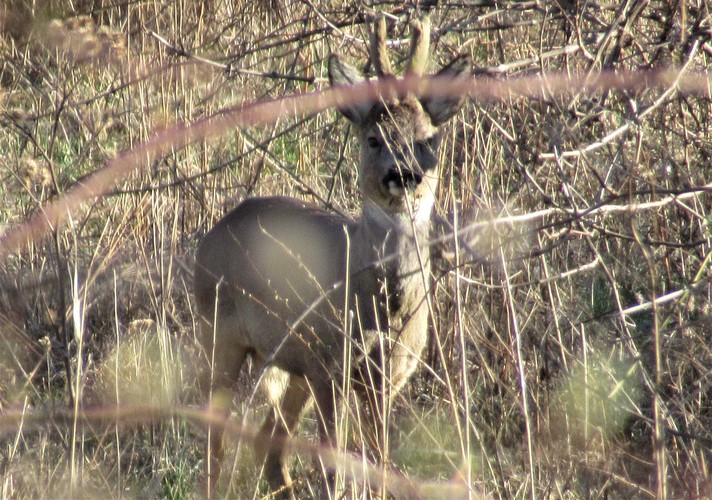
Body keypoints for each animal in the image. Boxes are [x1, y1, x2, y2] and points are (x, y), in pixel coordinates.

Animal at [195, 14, 470, 496]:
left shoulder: (388, 373)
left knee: (269, 439)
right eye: (375, 138)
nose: (405, 175)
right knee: (218, 433)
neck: (385, 305)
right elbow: (333, 464)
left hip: (292, 362)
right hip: (222, 333)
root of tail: (213, 233)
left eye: (428, 139)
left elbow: (379, 460)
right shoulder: (330, 363)